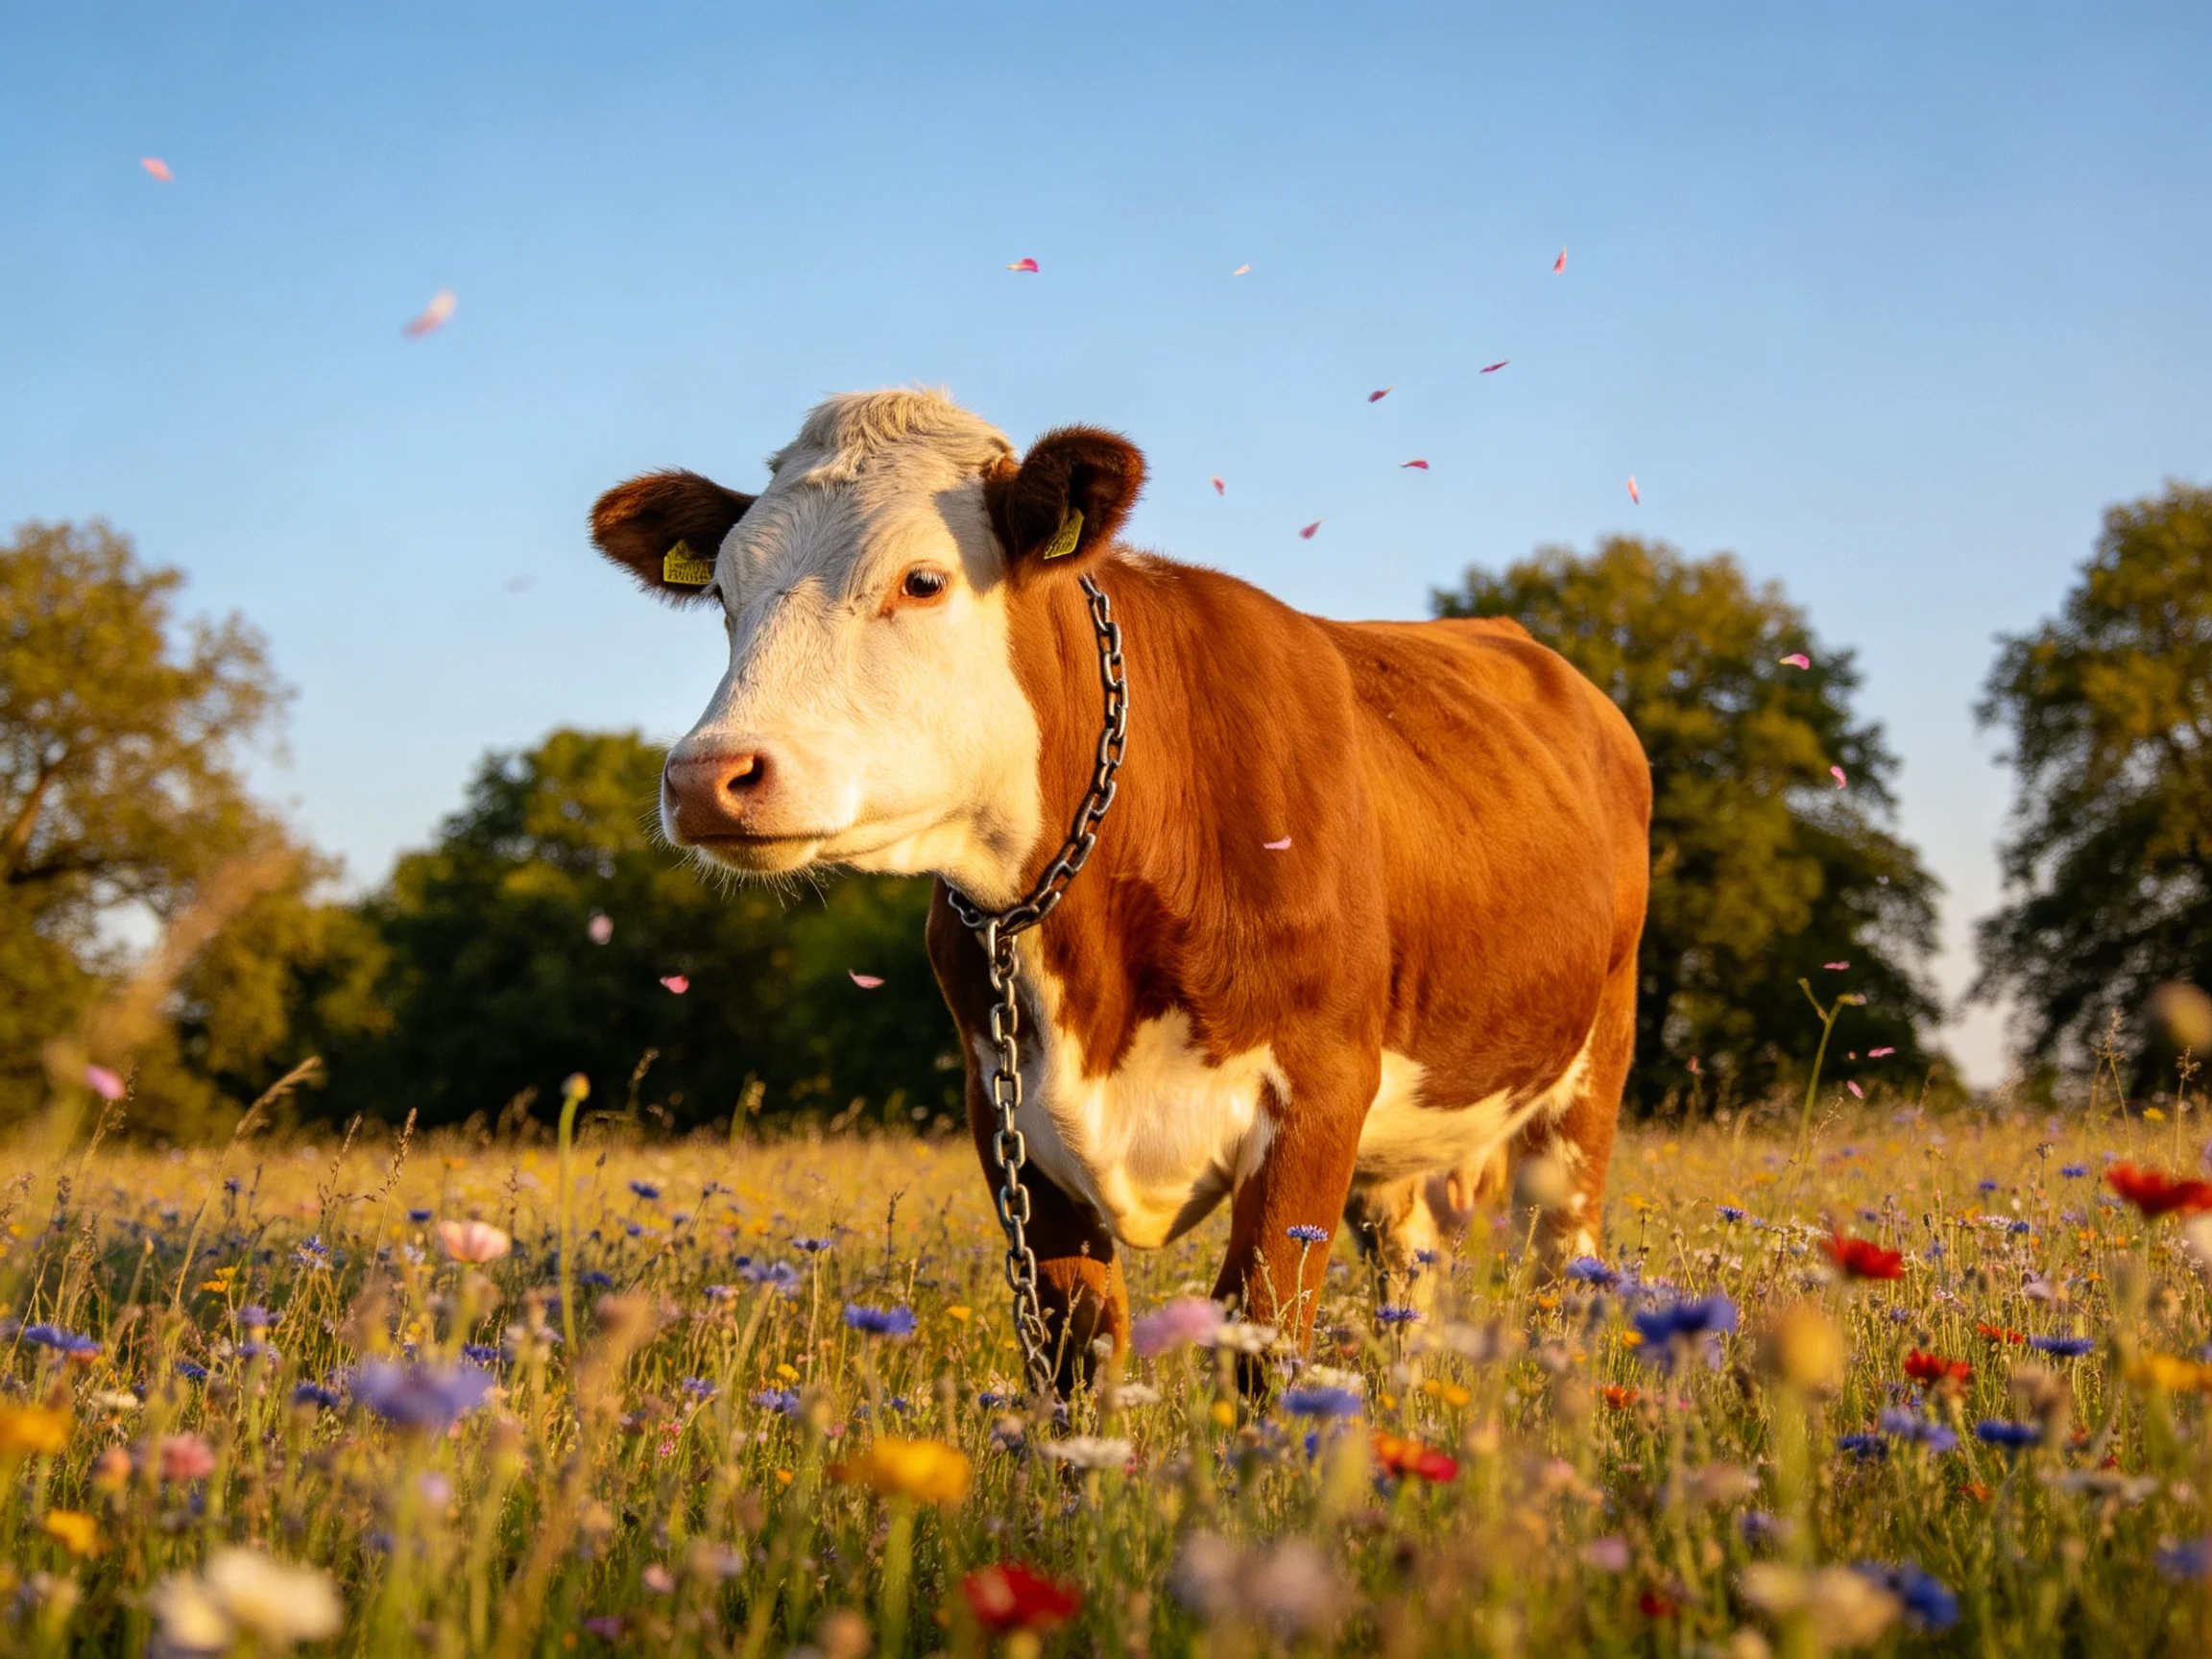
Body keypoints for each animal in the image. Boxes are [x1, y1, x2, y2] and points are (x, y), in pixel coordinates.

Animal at [589, 388, 1650, 1389]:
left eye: (923, 579)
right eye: (725, 594)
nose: (707, 776)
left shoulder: (1319, 1091)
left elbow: (1260, 1339)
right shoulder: (1007, 1115)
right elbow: (1077, 1352)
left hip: (1589, 1070)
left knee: (1564, 1270)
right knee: (1409, 1273)